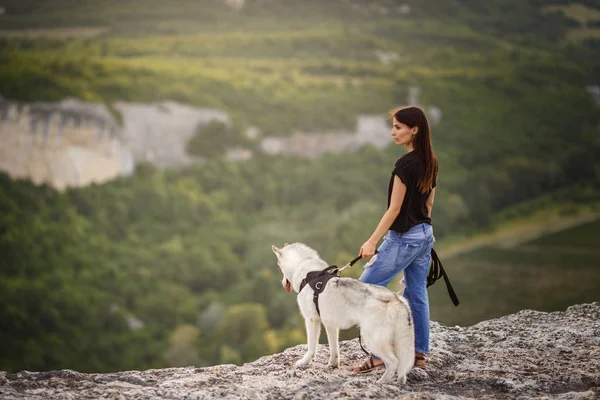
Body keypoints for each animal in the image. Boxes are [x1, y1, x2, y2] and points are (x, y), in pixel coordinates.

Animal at [270, 242, 414, 382]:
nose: (282, 283)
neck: (308, 272)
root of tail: (396, 299)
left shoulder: (312, 320)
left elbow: (311, 347)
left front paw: (304, 362)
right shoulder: (331, 326)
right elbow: (334, 349)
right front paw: (333, 365)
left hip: (373, 340)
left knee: (393, 362)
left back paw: (381, 382)